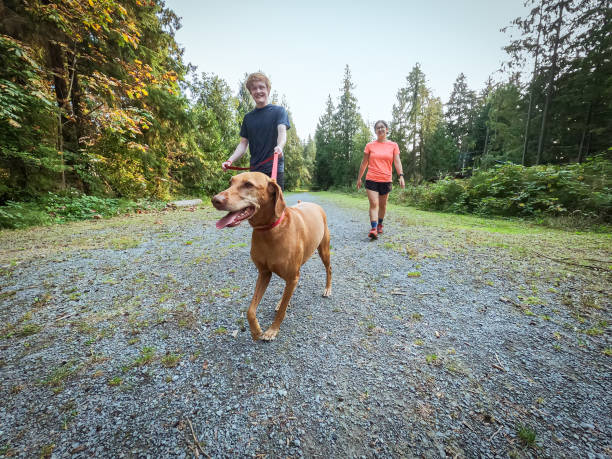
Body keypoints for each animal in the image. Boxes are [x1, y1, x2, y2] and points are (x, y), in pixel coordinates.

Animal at [213, 172, 332, 342]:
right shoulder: (264, 273)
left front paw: (272, 330)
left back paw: (327, 289)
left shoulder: (292, 276)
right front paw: (255, 331)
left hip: (324, 250)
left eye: (248, 184)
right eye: (230, 182)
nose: (215, 199)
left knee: (329, 269)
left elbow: (282, 311)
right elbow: (250, 310)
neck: (269, 230)